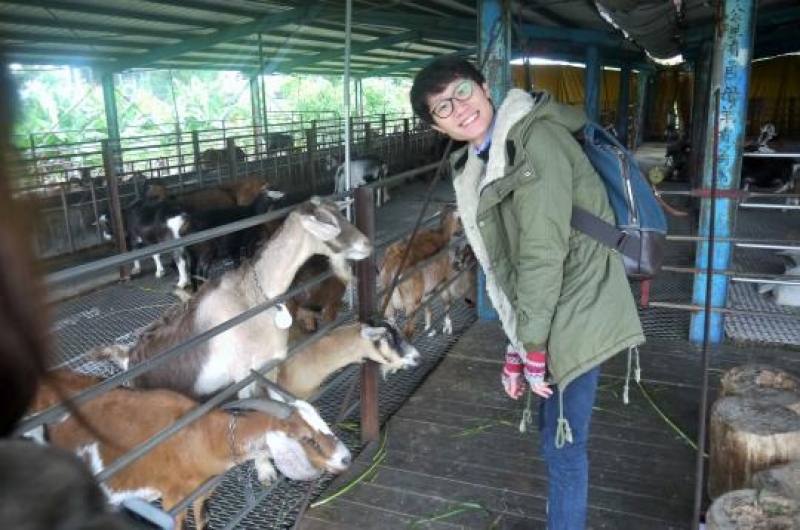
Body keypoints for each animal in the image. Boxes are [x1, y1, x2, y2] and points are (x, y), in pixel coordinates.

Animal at [28, 371, 350, 530]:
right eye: (307, 439)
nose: (345, 458)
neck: (202, 438)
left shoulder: (202, 493)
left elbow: (202, 522)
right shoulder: (172, 501)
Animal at [92, 197, 372, 400]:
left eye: (340, 213)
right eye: (326, 221)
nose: (367, 245)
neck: (252, 296)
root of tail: (128, 358)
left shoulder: (270, 364)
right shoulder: (242, 374)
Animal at [380, 205, 471, 337]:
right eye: (460, 220)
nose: (460, 232)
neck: (441, 234)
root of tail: (391, 266)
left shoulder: (427, 290)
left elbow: (428, 308)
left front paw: (430, 329)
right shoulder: (442, 281)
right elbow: (447, 304)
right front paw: (447, 328)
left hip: (388, 305)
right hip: (411, 304)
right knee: (408, 330)